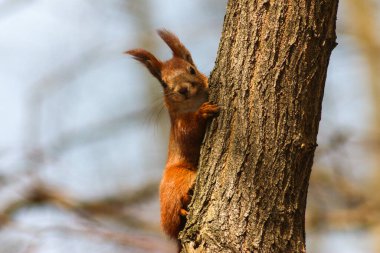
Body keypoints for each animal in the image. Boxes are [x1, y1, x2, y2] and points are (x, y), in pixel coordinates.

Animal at [125, 29, 218, 249]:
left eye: (191, 69)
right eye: (164, 83)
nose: (182, 89)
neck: (193, 103)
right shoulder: (179, 127)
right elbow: (190, 132)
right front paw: (203, 113)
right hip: (175, 180)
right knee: (173, 223)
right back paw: (183, 207)